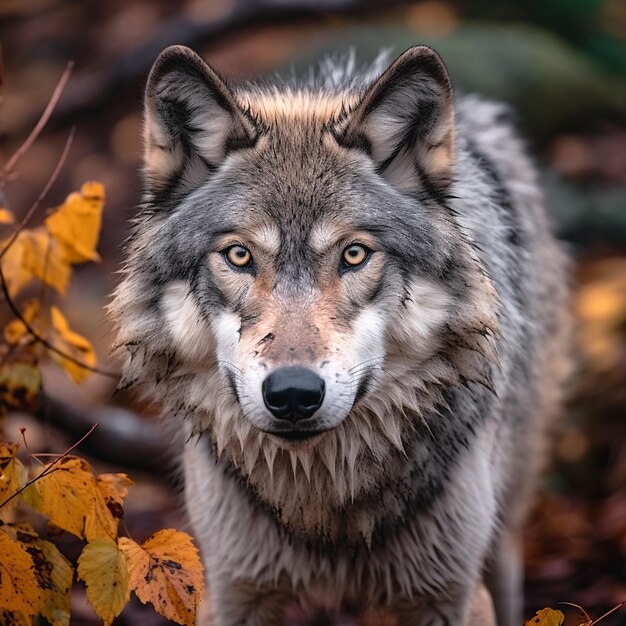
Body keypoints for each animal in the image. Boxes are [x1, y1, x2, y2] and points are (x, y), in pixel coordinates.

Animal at [109, 45, 568, 624]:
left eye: (354, 254)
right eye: (239, 255)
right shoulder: (234, 590)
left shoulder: (449, 594)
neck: (326, 503)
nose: (293, 394)